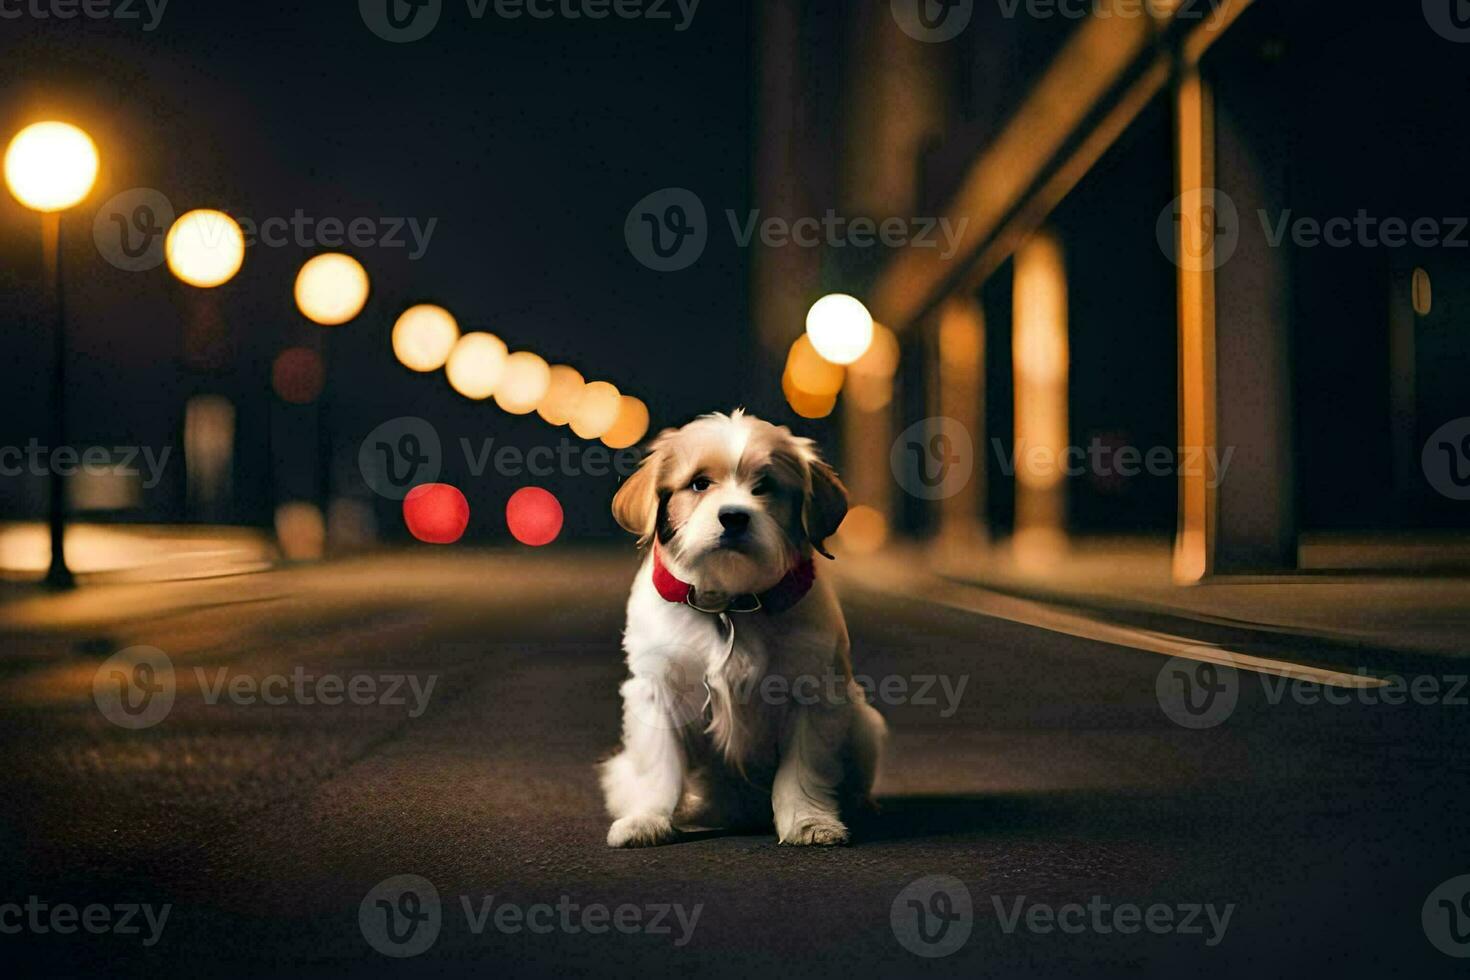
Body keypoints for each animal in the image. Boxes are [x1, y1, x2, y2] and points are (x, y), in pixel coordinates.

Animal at [596, 411, 882, 846]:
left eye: (765, 486)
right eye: (699, 483)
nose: (733, 516)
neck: (730, 604)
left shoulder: (814, 693)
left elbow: (802, 771)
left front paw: (809, 820)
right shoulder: (655, 691)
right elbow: (659, 769)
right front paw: (647, 818)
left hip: (865, 724)